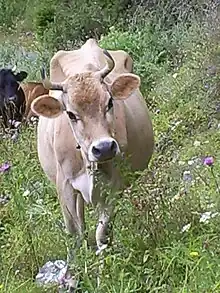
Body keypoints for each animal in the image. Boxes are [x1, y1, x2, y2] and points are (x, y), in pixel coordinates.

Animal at [31, 39, 155, 256]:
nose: (104, 148)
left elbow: (102, 232)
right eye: (71, 114)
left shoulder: (114, 184)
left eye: (110, 102)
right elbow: (75, 231)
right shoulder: (64, 185)